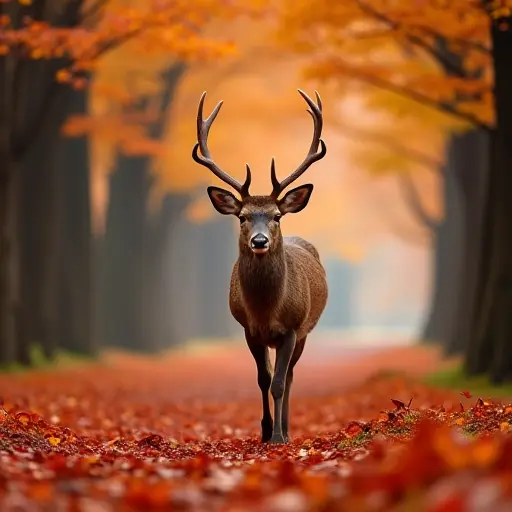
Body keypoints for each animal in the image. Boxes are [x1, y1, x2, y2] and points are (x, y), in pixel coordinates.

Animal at [192, 89, 328, 444]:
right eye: (242, 217)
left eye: (276, 215)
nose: (259, 241)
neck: (267, 309)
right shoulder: (249, 329)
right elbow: (263, 379)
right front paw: (266, 431)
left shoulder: (292, 327)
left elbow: (279, 382)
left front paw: (278, 435)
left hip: (305, 330)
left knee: (291, 375)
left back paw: (289, 429)